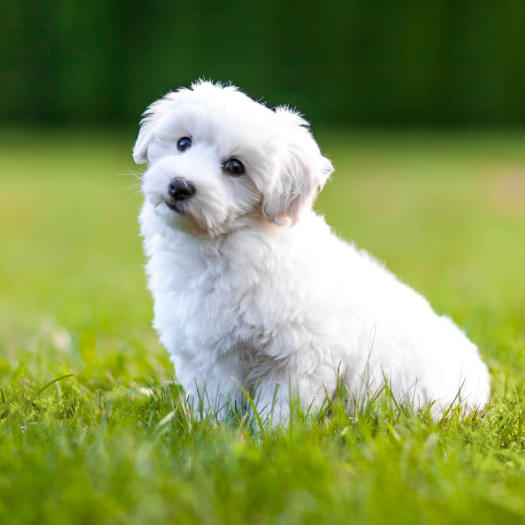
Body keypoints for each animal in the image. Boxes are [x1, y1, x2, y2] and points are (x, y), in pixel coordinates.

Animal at [133, 80, 490, 420]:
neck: (225, 242)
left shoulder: (298, 356)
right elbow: (215, 401)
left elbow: (279, 409)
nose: (179, 186)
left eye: (235, 167)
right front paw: (214, 430)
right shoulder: (203, 357)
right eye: (183, 143)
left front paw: (269, 437)